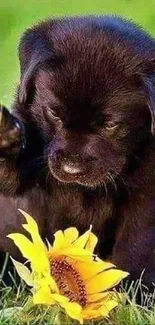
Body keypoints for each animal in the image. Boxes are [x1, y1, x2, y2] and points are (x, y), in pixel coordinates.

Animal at [0, 16, 155, 288]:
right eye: (54, 113)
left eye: (109, 125)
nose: (72, 169)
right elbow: (11, 178)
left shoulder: (145, 198)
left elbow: (135, 245)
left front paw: (130, 289)